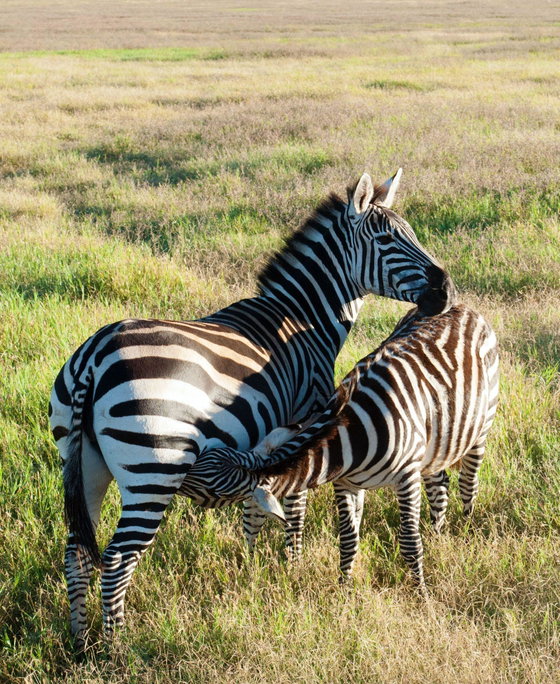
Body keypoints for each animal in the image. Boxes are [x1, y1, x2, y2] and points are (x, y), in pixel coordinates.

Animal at [49, 169, 456, 646]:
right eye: (388, 239)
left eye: (412, 234)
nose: (446, 291)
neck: (302, 319)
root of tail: (94, 357)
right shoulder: (306, 415)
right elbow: (295, 504)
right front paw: (293, 564)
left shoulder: (268, 435)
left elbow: (256, 505)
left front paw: (252, 562)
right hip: (153, 471)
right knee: (116, 560)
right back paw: (118, 648)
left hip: (84, 464)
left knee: (77, 552)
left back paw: (81, 641)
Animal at [189, 303, 499, 594]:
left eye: (213, 491)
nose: (248, 561)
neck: (349, 442)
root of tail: (462, 307)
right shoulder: (345, 483)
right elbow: (348, 539)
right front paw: (344, 588)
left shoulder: (407, 477)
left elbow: (410, 541)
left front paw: (421, 593)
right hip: (436, 443)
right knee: (439, 483)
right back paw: (437, 533)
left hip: (480, 429)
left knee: (468, 484)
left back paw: (465, 527)